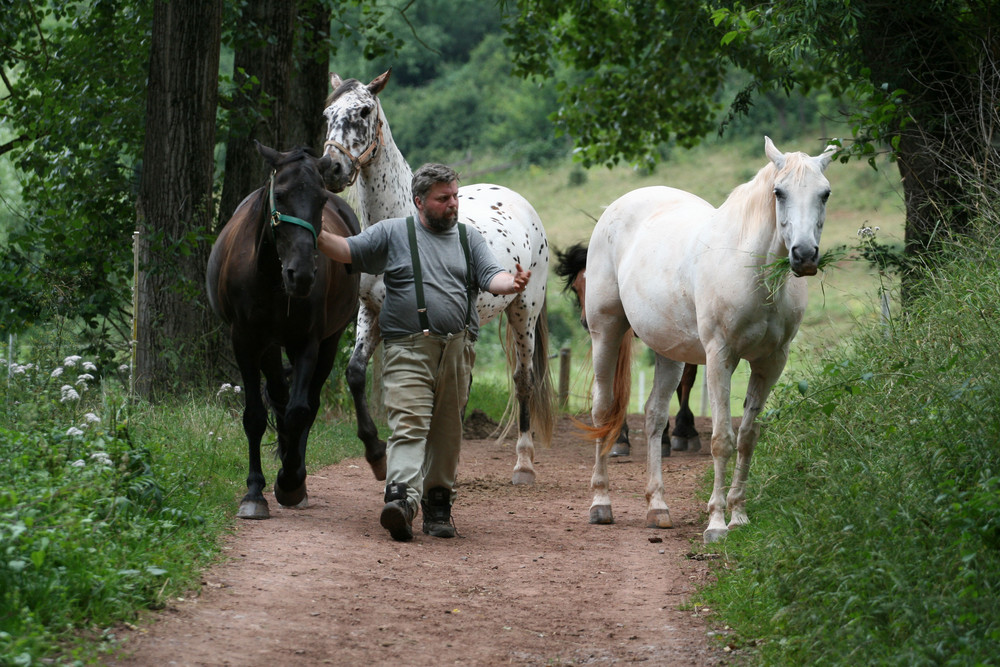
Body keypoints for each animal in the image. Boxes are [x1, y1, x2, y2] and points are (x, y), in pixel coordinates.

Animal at [205, 141, 384, 520]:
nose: (301, 275)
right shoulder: (245, 341)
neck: (271, 279)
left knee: (304, 404)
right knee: (277, 394)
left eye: (320, 199)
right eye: (282, 195)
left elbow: (300, 411)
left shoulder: (308, 342)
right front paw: (254, 492)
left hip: (327, 343)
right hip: (269, 346)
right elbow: (256, 415)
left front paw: (290, 480)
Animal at [322, 69, 552, 486]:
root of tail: (521, 204)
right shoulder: (372, 313)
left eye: (364, 111)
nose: (330, 168)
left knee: (523, 380)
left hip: (524, 313)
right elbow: (357, 373)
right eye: (327, 113)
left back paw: (524, 465)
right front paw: (377, 454)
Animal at [552, 243, 700, 456]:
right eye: (576, 286)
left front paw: (680, 430)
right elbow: (616, 381)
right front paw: (619, 436)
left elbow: (685, 378)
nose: (588, 322)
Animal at [584, 136, 836, 544]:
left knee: (654, 418)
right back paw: (601, 503)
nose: (804, 255)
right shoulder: (721, 357)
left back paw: (658, 508)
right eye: (779, 192)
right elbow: (722, 439)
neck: (753, 271)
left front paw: (739, 516)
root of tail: (617, 207)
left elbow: (747, 437)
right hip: (605, 332)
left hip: (667, 352)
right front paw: (716, 523)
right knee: (603, 412)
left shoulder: (771, 363)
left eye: (824, 193)